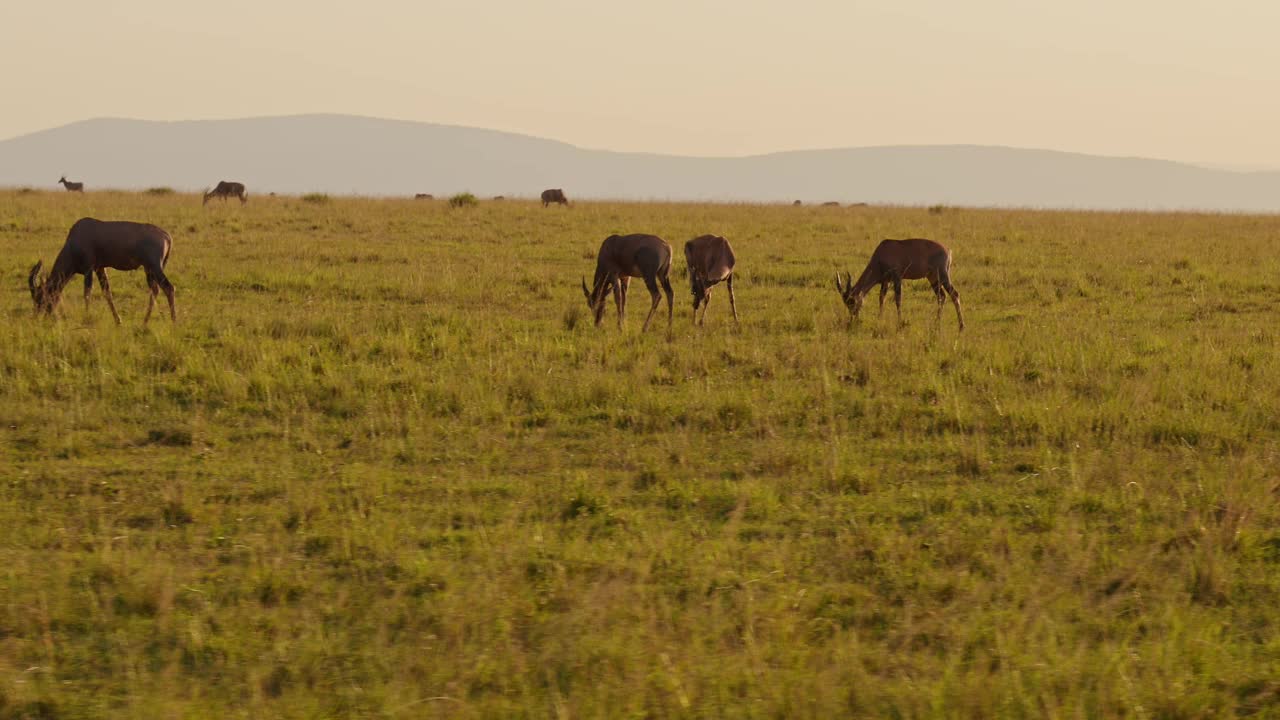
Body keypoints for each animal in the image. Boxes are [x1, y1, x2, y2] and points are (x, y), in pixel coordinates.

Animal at [29, 215, 177, 322]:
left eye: (40, 296)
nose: (38, 318)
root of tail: (167, 236)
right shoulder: (99, 268)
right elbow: (107, 292)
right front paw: (118, 321)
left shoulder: (88, 269)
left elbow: (87, 292)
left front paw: (87, 317)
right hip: (149, 269)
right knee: (155, 290)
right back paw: (145, 322)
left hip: (155, 267)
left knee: (168, 288)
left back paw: (173, 321)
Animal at [834, 238, 962, 330]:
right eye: (846, 303)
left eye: (852, 300)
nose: (853, 319)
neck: (882, 252)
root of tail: (948, 250)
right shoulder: (885, 281)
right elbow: (882, 298)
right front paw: (880, 319)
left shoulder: (897, 278)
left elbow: (898, 299)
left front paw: (900, 323)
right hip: (933, 278)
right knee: (942, 296)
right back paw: (937, 323)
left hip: (943, 276)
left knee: (954, 294)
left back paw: (961, 326)